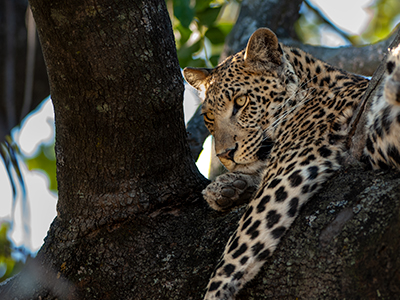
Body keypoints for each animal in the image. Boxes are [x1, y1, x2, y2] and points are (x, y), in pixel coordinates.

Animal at [182, 27, 400, 298]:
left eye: (241, 102)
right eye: (209, 116)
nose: (225, 154)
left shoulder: (286, 175)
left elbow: (234, 252)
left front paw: (214, 293)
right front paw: (226, 188)